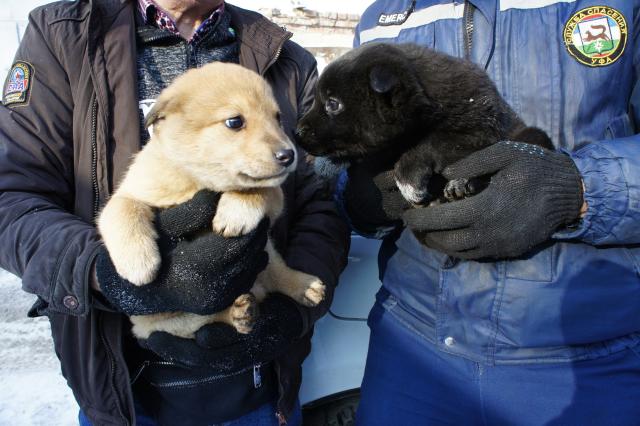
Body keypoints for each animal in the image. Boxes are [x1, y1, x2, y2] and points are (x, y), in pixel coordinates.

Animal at [97, 61, 328, 340]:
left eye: (277, 117)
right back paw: (239, 313)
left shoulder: (275, 193)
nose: (289, 154)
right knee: (207, 318)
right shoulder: (131, 190)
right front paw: (138, 263)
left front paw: (235, 213)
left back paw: (305, 285)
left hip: (266, 252)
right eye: (235, 121)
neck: (196, 181)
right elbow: (122, 209)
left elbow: (255, 188)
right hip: (169, 322)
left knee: (277, 272)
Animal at [296, 42, 552, 206]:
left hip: (530, 135)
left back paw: (462, 183)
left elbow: (429, 145)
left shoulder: (476, 131)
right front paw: (327, 163)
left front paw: (408, 181)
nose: (297, 132)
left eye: (333, 104)